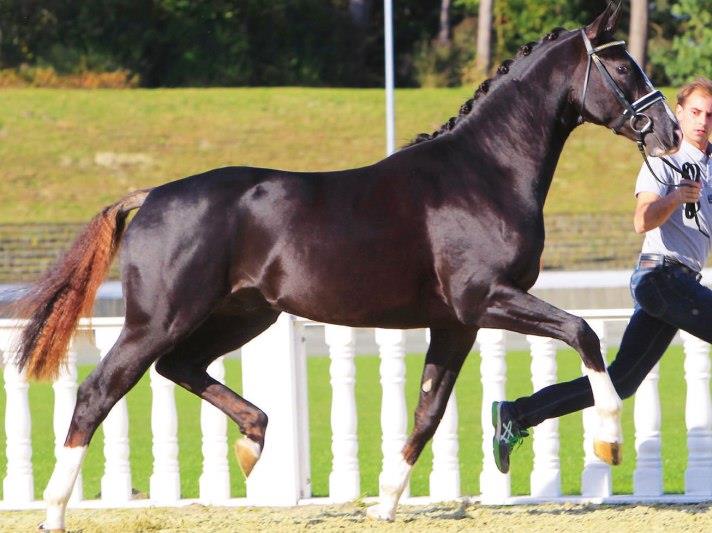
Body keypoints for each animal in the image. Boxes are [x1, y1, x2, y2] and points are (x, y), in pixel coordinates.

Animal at [16, 3, 679, 530]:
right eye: (623, 67)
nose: (670, 133)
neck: (484, 173)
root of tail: (149, 195)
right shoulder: (485, 298)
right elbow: (583, 333)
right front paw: (610, 441)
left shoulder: (456, 323)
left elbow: (428, 411)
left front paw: (384, 503)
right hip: (159, 319)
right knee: (99, 392)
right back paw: (54, 510)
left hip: (242, 314)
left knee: (181, 367)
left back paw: (253, 441)